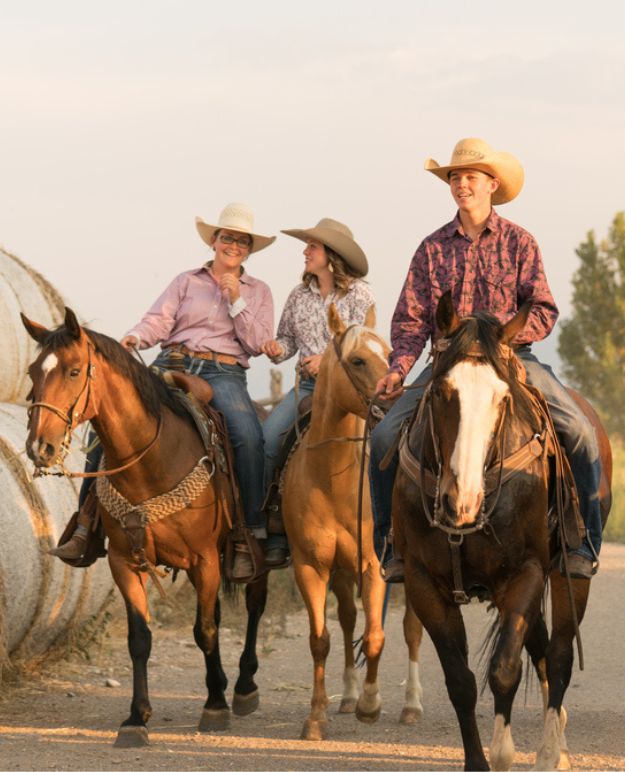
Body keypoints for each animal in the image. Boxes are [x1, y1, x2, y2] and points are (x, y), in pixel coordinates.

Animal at [20, 306, 266, 748]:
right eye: (33, 371)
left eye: (74, 371)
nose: (39, 447)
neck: (152, 461)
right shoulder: (124, 561)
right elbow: (140, 639)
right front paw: (137, 718)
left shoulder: (204, 559)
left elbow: (205, 630)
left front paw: (214, 706)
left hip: (256, 555)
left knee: (254, 605)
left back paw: (242, 687)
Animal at [282, 306, 424, 740]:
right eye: (358, 360)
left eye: (391, 353)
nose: (396, 399)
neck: (332, 478)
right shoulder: (311, 566)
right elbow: (321, 639)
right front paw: (316, 717)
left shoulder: (374, 566)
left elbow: (376, 635)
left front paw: (371, 704)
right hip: (342, 572)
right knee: (346, 621)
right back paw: (346, 696)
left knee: (412, 627)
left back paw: (411, 705)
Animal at [392, 292, 612, 768]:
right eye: (441, 392)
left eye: (502, 398)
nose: (463, 500)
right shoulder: (423, 582)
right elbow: (461, 680)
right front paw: (478, 760)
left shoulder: (526, 573)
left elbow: (505, 668)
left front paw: (505, 751)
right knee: (542, 650)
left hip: (569, 575)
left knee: (559, 654)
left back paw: (552, 752)